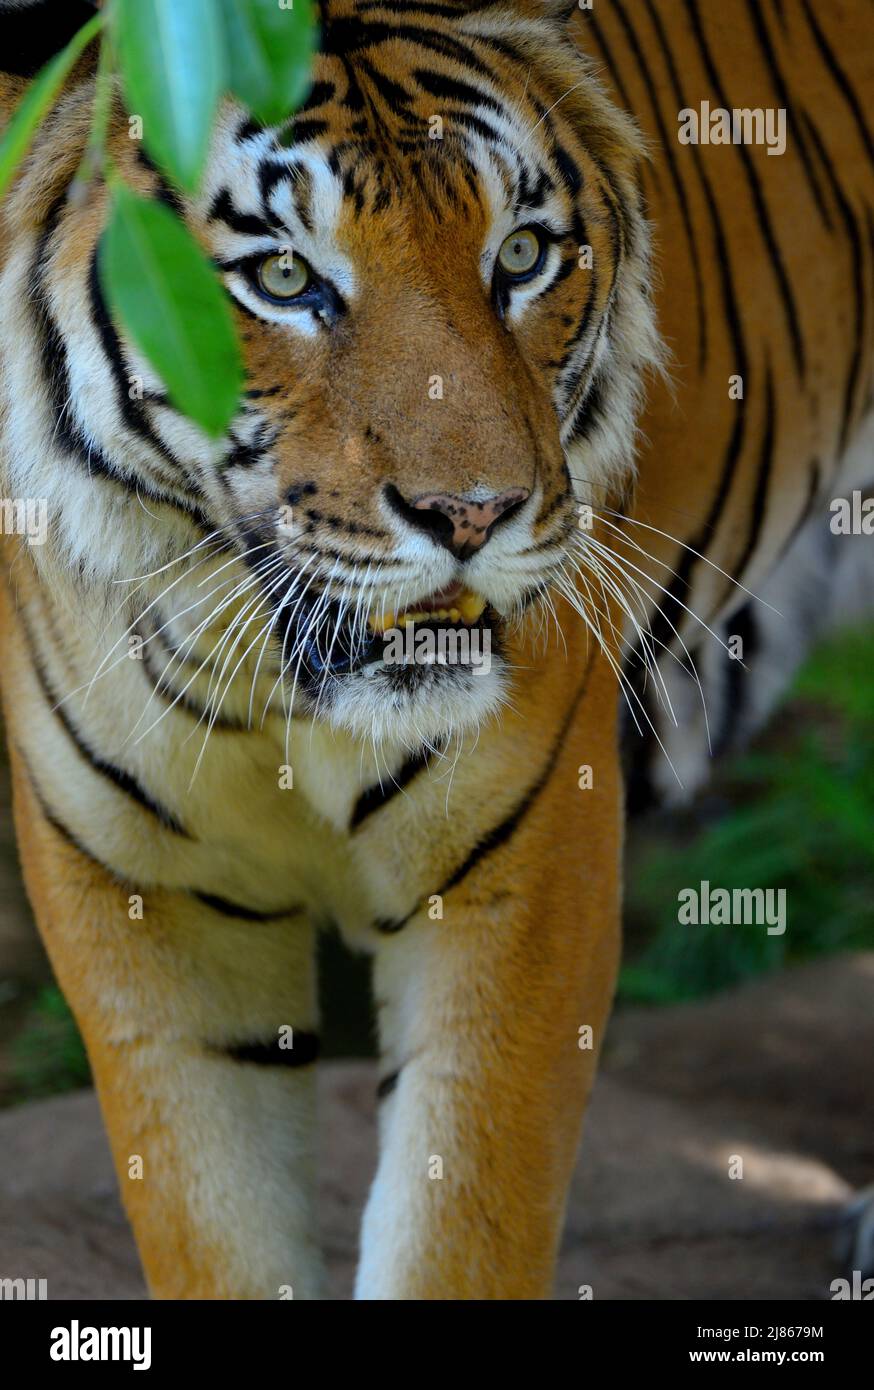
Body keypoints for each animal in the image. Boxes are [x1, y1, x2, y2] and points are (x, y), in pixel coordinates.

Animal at [0, 0, 867, 1301]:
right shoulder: (142, 907)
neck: (268, 685)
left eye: (521, 257)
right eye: (285, 276)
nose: (472, 513)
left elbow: (459, 1228)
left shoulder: (524, 874)